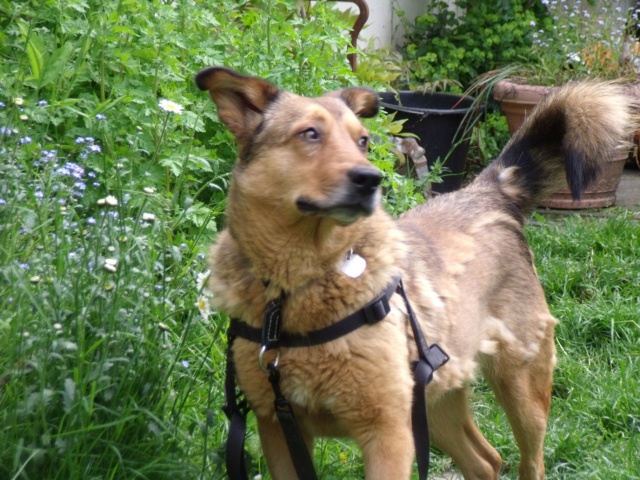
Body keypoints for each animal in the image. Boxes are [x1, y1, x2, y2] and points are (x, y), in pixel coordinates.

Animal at [195, 68, 636, 480]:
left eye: (363, 141)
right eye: (309, 134)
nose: (371, 179)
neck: (295, 289)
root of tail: (488, 192)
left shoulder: (388, 432)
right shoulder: (279, 431)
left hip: (521, 391)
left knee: (530, 463)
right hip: (434, 402)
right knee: (487, 461)